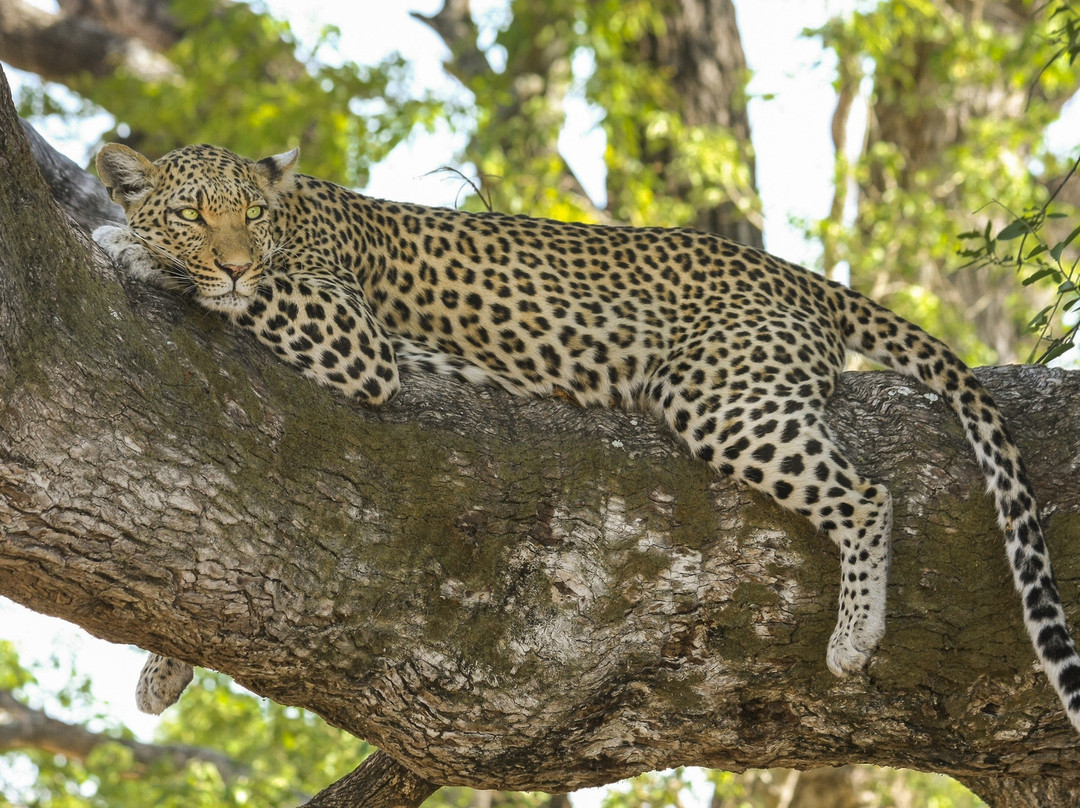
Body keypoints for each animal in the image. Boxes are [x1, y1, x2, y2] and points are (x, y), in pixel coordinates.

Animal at [93, 142, 1080, 731]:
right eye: (195, 212)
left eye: (249, 216)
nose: (231, 258)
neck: (293, 218)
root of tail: (798, 274)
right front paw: (164, 669)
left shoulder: (352, 334)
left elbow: (256, 294)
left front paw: (125, 244)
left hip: (715, 393)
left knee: (869, 493)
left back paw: (853, 637)